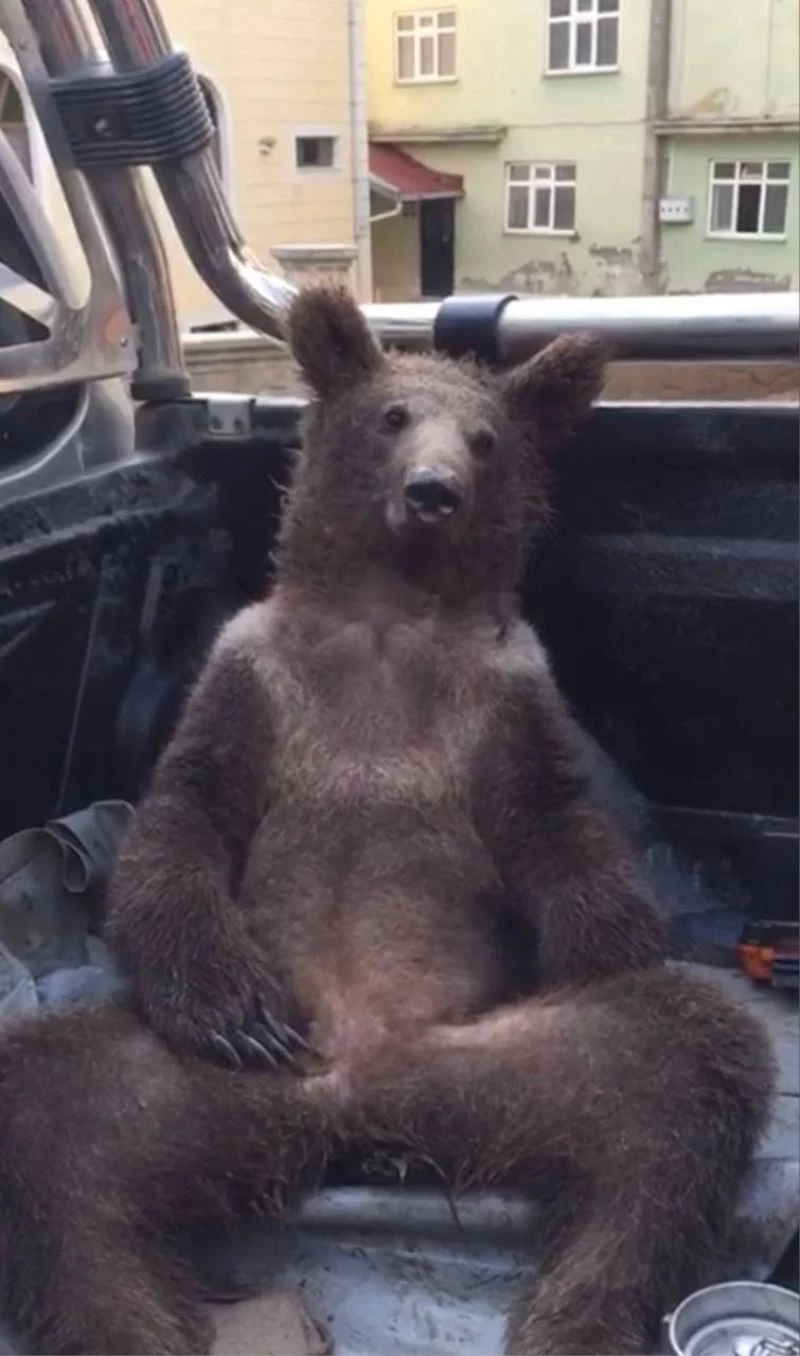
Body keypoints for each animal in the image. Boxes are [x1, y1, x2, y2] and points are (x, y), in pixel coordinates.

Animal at [0, 284, 773, 1356]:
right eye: (393, 416)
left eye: (486, 438)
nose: (434, 490)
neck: (387, 616)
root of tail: (360, 1115)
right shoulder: (251, 675)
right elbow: (186, 821)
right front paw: (234, 1010)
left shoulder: (505, 699)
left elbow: (559, 832)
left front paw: (600, 950)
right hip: (194, 1091)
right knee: (54, 1130)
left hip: (504, 1069)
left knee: (676, 1094)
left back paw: (577, 1319)